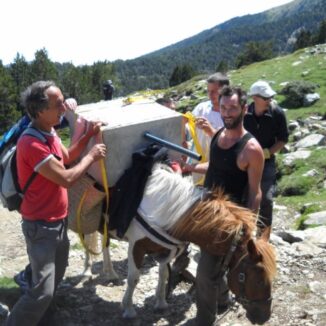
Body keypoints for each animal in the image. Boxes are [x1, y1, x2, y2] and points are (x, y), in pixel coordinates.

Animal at [83, 164, 276, 324]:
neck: (168, 211)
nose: (264, 316)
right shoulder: (136, 246)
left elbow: (163, 275)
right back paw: (87, 271)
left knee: (104, 243)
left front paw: (161, 302)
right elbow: (134, 278)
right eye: (259, 280)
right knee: (87, 237)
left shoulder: (166, 249)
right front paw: (129, 309)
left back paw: (110, 273)